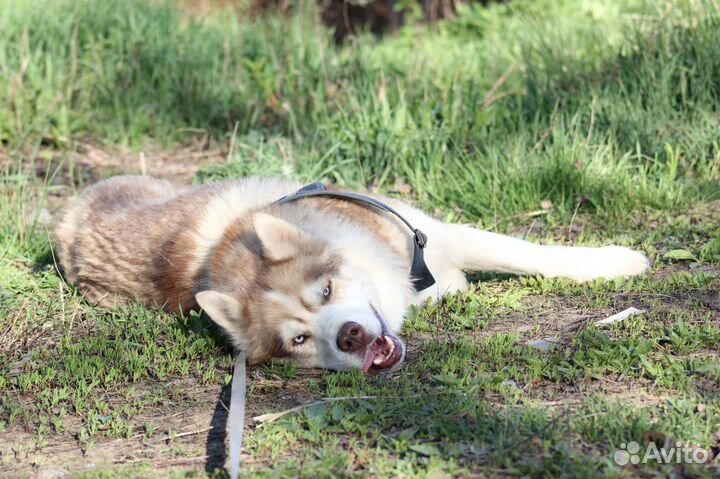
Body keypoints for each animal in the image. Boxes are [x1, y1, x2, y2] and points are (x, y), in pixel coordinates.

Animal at [56, 178, 648, 374]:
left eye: (325, 290)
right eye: (298, 340)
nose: (350, 335)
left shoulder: (432, 234)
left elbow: (524, 252)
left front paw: (617, 260)